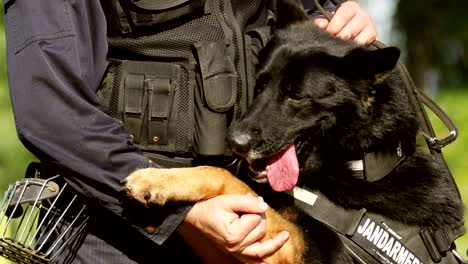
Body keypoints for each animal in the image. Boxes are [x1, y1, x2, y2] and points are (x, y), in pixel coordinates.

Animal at [124, 1, 464, 262]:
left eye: (296, 96)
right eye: (261, 84)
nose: (234, 143)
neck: (357, 160)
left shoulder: (308, 250)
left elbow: (227, 177)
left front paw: (154, 178)